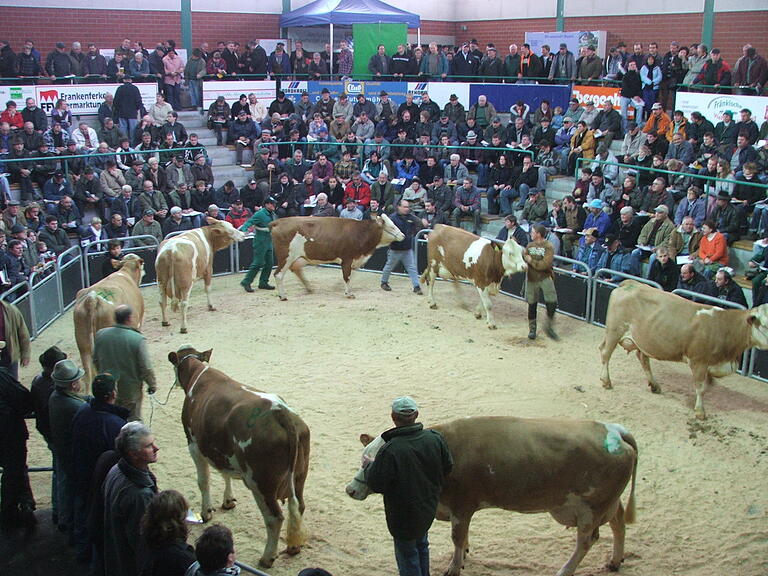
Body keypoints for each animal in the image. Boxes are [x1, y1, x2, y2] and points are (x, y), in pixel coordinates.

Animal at [170, 346, 310, 568]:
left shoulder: (193, 444)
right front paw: (228, 500)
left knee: (274, 518)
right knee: (299, 507)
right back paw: (293, 546)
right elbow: (225, 474)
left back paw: (267, 557)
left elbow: (203, 481)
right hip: (299, 475)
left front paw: (206, 512)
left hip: (261, 484)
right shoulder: (221, 449)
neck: (197, 375)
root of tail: (281, 413)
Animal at [270, 214, 402, 300]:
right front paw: (349, 294)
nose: (403, 235)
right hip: (286, 257)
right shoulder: (347, 259)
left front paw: (341, 288)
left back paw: (309, 288)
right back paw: (283, 296)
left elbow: (351, 276)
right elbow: (347, 276)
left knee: (296, 270)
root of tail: (279, 221)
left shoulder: (355, 261)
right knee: (278, 274)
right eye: (391, 226)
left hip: (299, 257)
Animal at [346, 416, 636, 576]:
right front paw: (464, 555)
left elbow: (457, 537)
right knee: (619, 522)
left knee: (587, 541)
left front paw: (454, 567)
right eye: (363, 458)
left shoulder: (462, 505)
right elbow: (463, 538)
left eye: (374, 462)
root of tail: (613, 429)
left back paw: (565, 570)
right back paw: (614, 561)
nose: (351, 489)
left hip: (591, 508)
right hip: (607, 504)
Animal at [604, 280, 768, 418]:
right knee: (605, 353)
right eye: (765, 324)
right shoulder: (698, 360)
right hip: (614, 331)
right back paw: (606, 382)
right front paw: (700, 411)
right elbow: (700, 387)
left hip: (644, 340)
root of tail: (631, 283)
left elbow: (708, 383)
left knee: (643, 358)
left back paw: (654, 385)